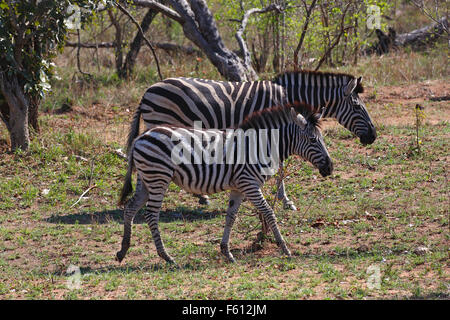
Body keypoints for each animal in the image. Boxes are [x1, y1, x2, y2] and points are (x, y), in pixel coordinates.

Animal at [116, 103, 334, 264]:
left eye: (321, 138)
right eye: (313, 140)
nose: (330, 168)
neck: (260, 146)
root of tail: (141, 138)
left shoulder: (238, 188)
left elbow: (231, 217)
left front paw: (226, 252)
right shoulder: (249, 184)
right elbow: (269, 213)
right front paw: (284, 248)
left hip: (146, 179)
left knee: (130, 208)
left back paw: (123, 250)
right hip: (158, 177)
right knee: (151, 215)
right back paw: (166, 256)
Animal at [125, 70, 376, 210]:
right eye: (357, 106)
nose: (373, 137)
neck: (287, 97)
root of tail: (148, 91)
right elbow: (280, 167)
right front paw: (285, 200)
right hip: (161, 123)